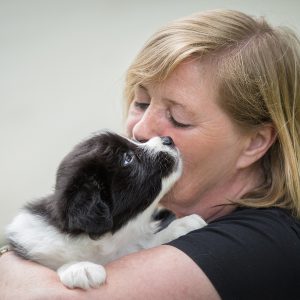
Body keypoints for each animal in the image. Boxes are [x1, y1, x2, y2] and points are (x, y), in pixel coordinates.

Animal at [5, 132, 206, 290]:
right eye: (127, 158)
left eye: (135, 140)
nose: (168, 139)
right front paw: (79, 268)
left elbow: (147, 241)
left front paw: (184, 223)